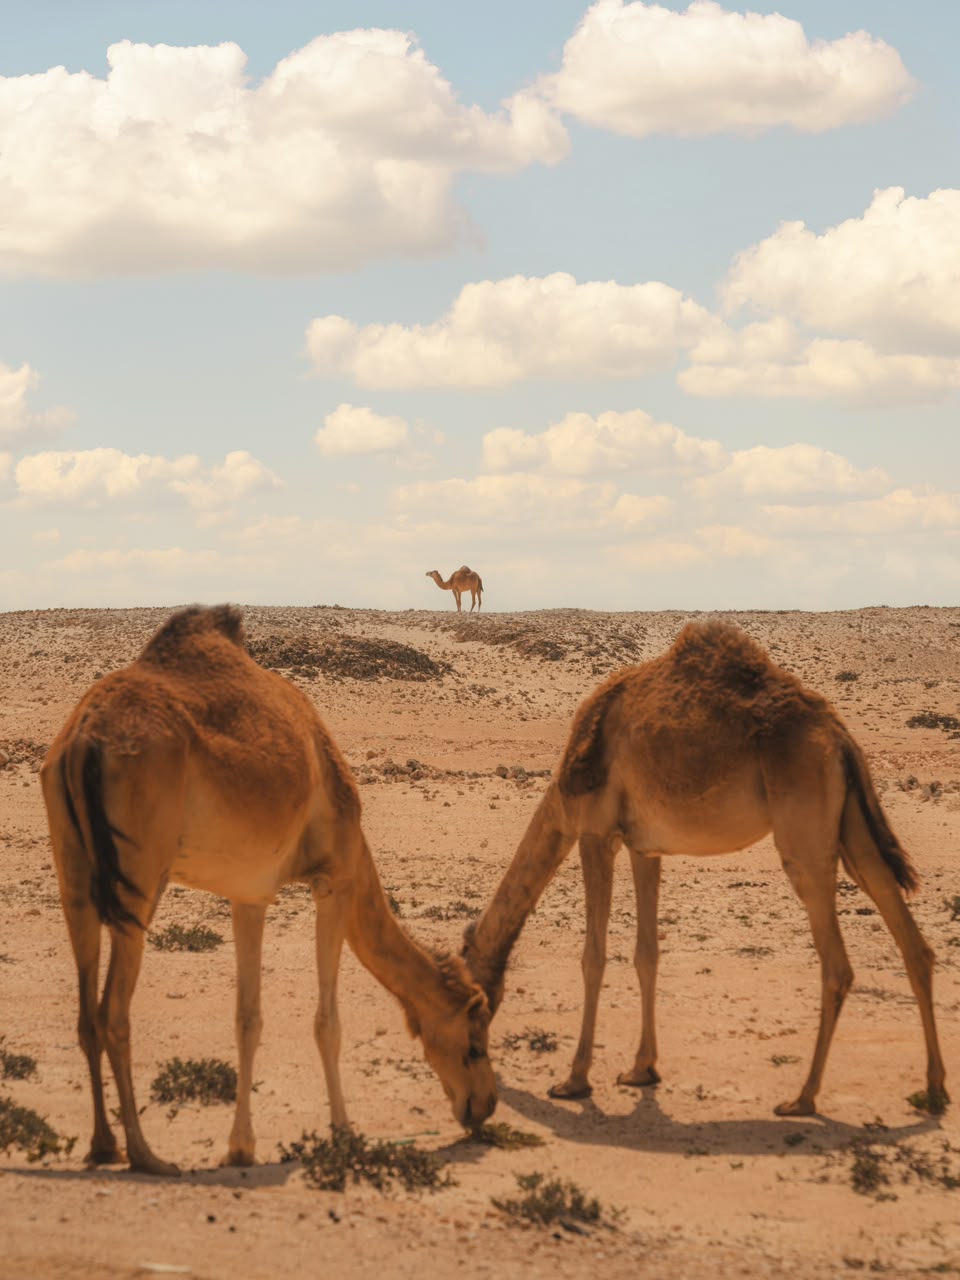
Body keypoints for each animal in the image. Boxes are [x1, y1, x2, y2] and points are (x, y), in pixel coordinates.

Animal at [40, 605, 496, 1177]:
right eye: (475, 1040)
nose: (483, 1106)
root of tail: (84, 738)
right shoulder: (334, 880)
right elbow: (327, 1022)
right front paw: (342, 1132)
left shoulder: (249, 895)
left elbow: (248, 1018)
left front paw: (241, 1145)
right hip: (140, 876)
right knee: (113, 1011)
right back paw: (147, 1154)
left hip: (74, 872)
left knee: (85, 1011)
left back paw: (103, 1145)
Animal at [463, 619, 948, 1116]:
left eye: (466, 1000)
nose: (471, 1057)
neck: (563, 792)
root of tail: (840, 737)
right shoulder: (643, 848)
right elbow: (646, 953)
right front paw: (642, 1070)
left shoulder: (594, 833)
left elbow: (593, 957)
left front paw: (574, 1080)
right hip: (852, 826)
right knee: (907, 933)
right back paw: (933, 1088)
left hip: (805, 838)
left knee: (837, 964)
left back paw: (802, 1098)